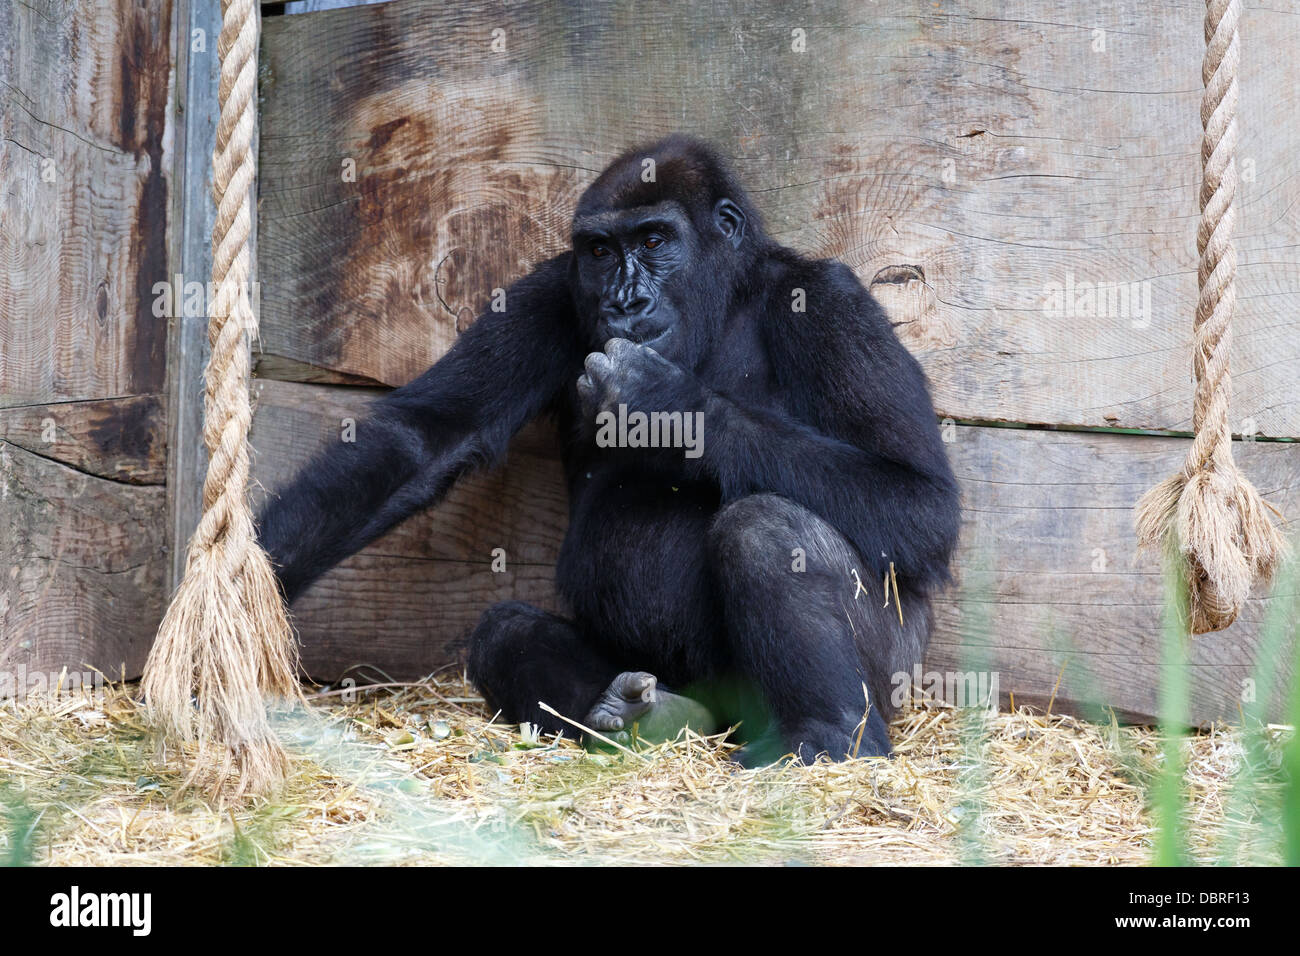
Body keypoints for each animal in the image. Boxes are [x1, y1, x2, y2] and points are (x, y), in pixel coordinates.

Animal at [258, 132, 961, 764]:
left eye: (653, 241)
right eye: (600, 251)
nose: (626, 300)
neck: (726, 298)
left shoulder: (833, 301)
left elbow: (919, 502)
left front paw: (667, 406)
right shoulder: (547, 291)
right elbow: (429, 437)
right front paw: (255, 585)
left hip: (896, 670)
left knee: (766, 528)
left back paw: (832, 733)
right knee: (503, 633)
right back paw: (640, 713)